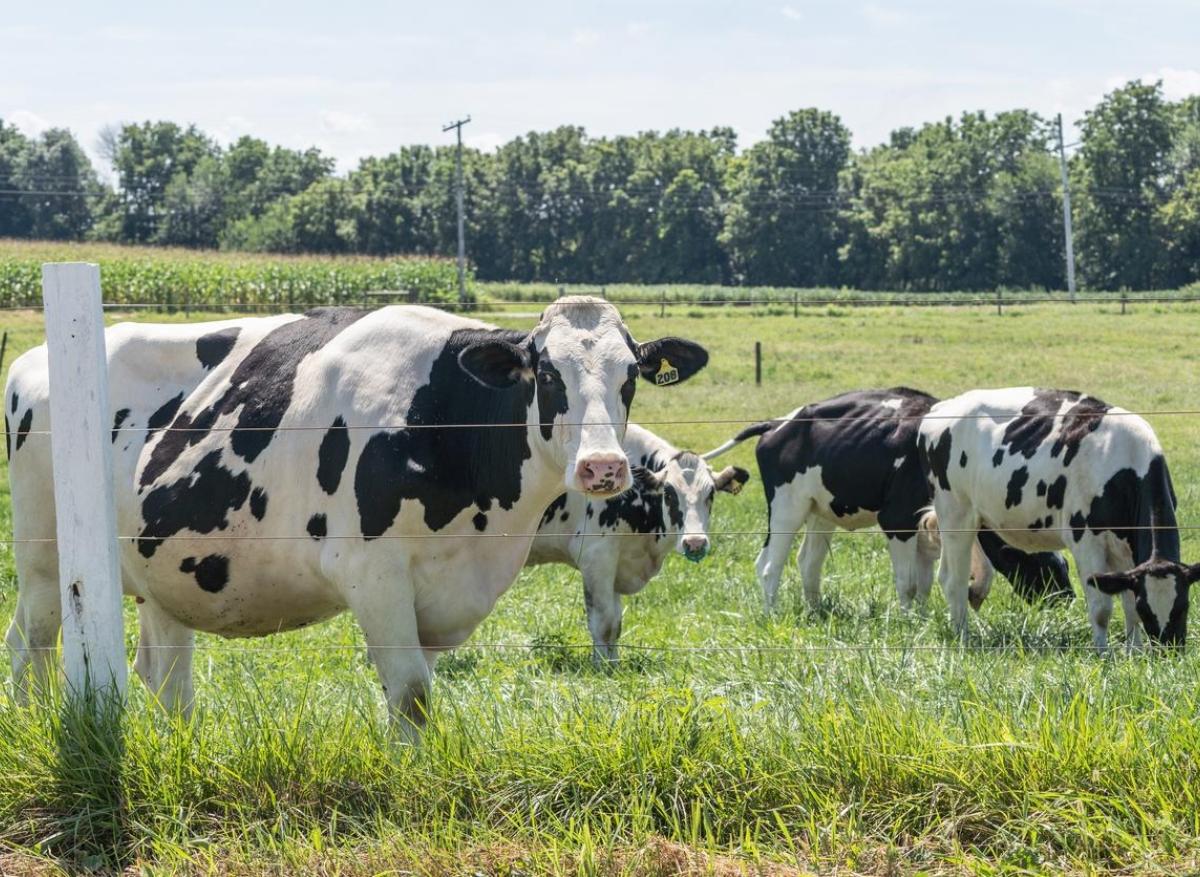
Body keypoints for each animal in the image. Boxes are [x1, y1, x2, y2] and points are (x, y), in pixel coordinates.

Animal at [4, 302, 705, 734]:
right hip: (45, 558)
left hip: (163, 571)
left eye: (631, 375)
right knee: (32, 641)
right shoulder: (373, 570)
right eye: (547, 374)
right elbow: (412, 693)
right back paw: (37, 724)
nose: (602, 467)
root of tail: (34, 359)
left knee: (165, 678)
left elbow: (415, 690)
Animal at [528, 424, 744, 667]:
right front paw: (601, 668)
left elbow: (616, 624)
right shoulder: (597, 557)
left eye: (711, 494)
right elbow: (603, 623)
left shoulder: (617, 559)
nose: (695, 543)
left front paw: (613, 665)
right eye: (668, 493)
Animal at [700, 388, 1070, 614]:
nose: (1065, 600)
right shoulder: (897, 519)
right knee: (768, 565)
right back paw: (772, 613)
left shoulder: (927, 525)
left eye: (1063, 564)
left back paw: (815, 611)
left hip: (820, 510)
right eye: (1042, 565)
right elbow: (908, 582)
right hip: (785, 508)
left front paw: (922, 618)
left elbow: (923, 583)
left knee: (808, 563)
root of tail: (777, 423)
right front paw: (908, 621)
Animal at [912, 388, 1195, 647]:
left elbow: (1127, 603)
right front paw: (1104, 654)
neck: (1126, 466)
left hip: (973, 518)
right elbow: (1102, 609)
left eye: (1184, 605)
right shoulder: (1086, 541)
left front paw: (1134, 653)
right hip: (955, 513)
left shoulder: (1125, 548)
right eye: (1147, 608)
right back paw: (964, 639)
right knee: (954, 581)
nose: (1169, 650)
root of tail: (942, 407)